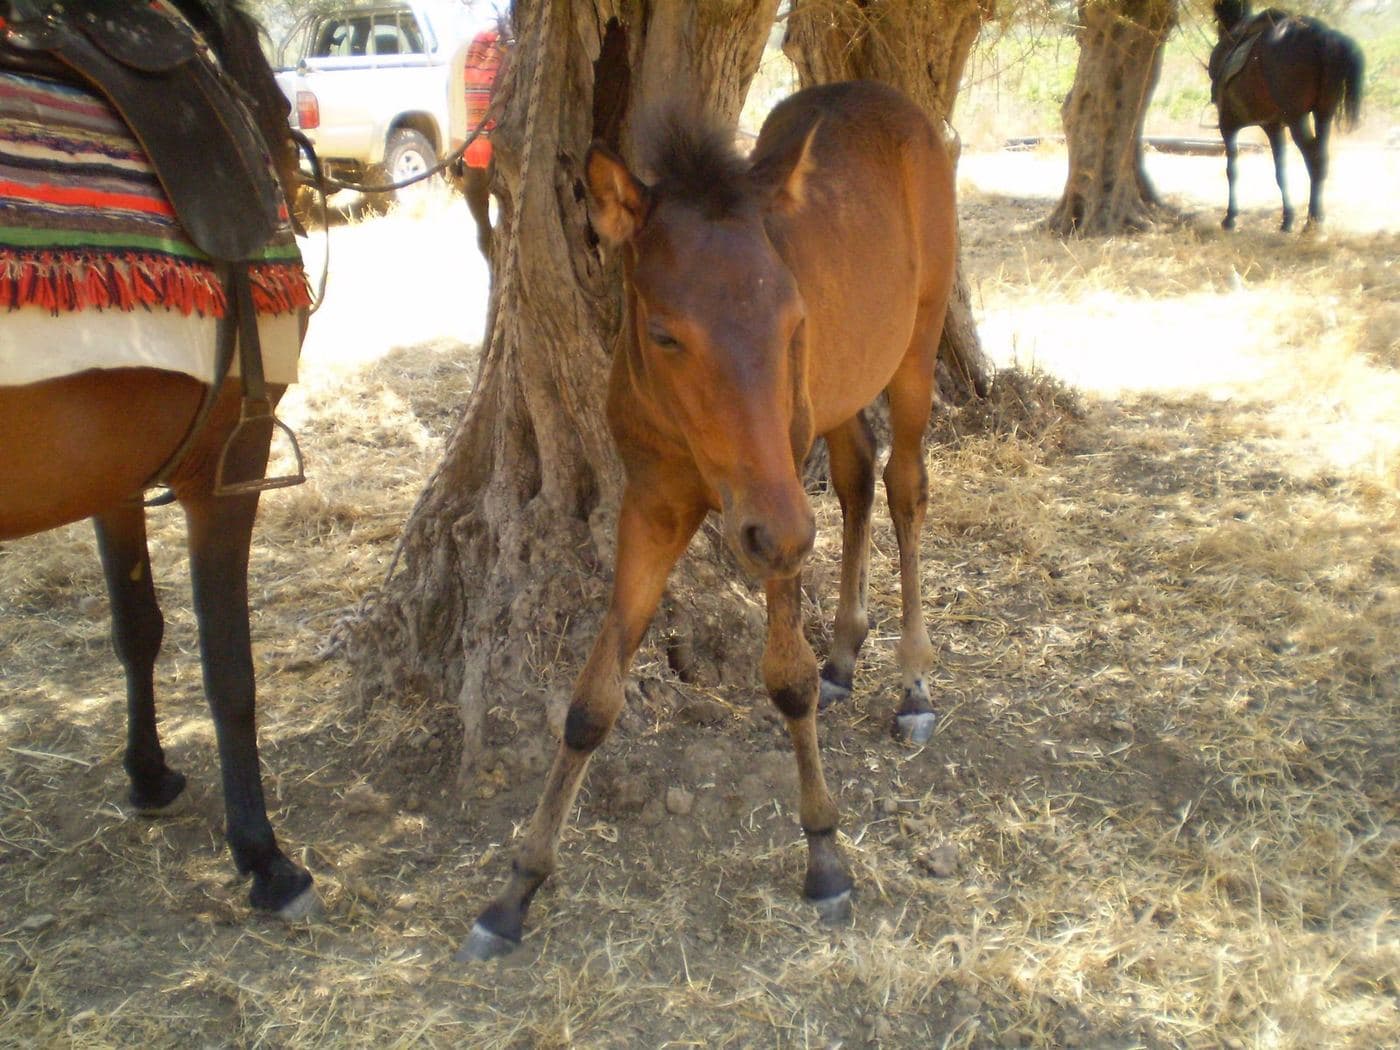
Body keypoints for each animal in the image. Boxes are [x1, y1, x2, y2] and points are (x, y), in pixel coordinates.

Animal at [0, 0, 315, 919]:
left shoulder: (106, 468)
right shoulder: (228, 464)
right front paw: (263, 855)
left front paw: (147, 775)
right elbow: (230, 671)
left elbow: (136, 627)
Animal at [461, 79, 957, 961]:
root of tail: (894, 104)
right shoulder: (654, 506)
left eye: (793, 321)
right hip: (838, 405)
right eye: (664, 332)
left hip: (914, 353)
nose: (780, 533)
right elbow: (590, 702)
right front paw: (516, 888)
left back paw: (912, 682)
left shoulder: (775, 507)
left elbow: (785, 679)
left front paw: (825, 854)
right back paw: (845, 655)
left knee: (904, 488)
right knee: (857, 481)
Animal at [1209, 0, 1364, 232]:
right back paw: (1315, 219)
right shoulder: (1273, 126)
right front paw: (1287, 219)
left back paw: (1311, 221)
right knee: (1322, 158)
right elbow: (1280, 172)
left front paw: (1230, 218)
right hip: (1323, 114)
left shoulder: (1228, 125)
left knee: (1313, 159)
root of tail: (1323, 37)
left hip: (1297, 118)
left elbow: (1232, 171)